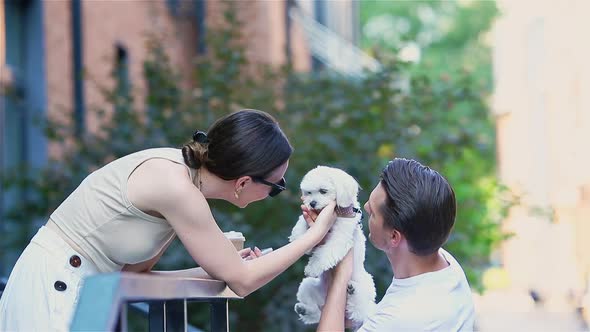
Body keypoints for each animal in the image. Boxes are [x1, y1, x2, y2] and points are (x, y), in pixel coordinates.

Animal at [290, 165, 376, 328]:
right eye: (308, 192)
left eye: (323, 191)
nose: (312, 203)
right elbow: (302, 226)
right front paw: (298, 238)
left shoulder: (340, 239)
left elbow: (325, 253)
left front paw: (313, 267)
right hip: (308, 286)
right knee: (317, 314)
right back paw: (305, 309)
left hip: (366, 288)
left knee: (359, 311)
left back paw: (353, 291)